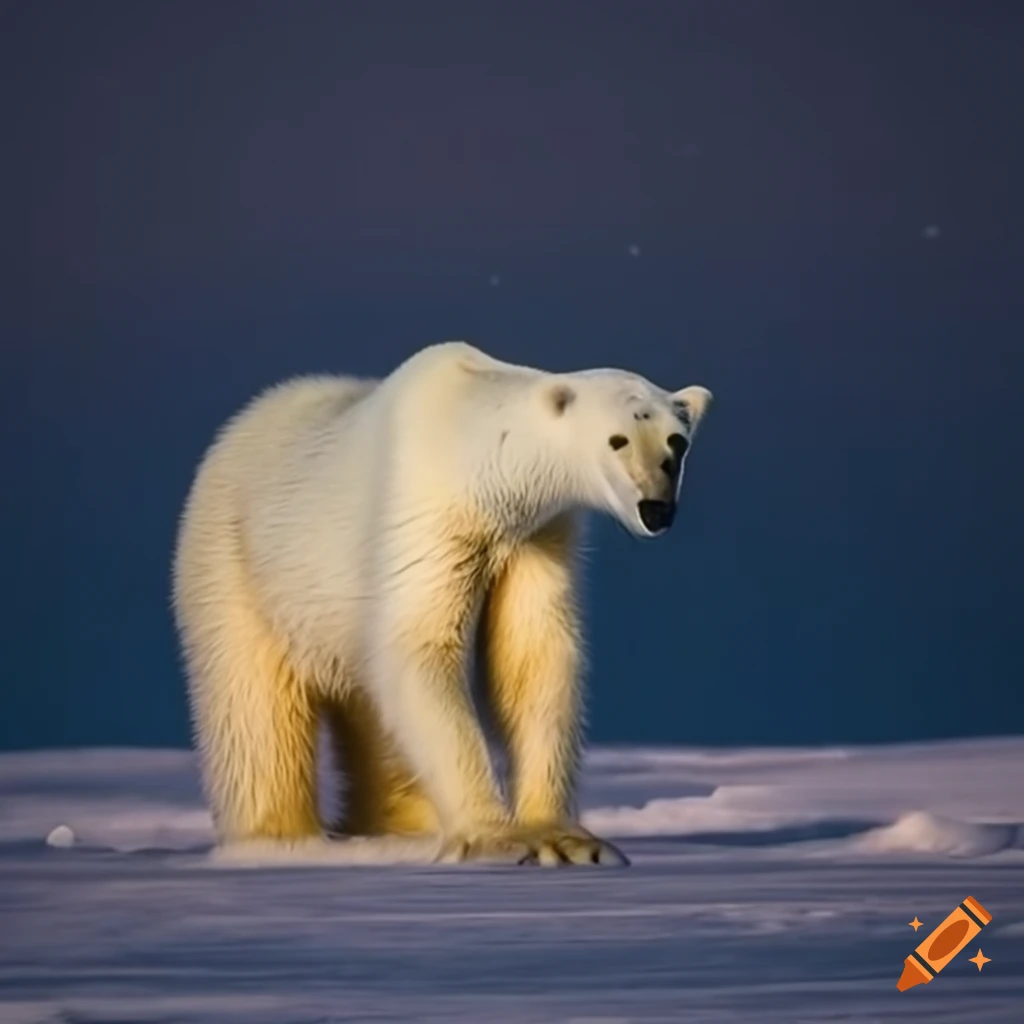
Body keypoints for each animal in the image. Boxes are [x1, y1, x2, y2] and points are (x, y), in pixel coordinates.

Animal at [172, 341, 712, 866]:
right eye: (617, 439)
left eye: (676, 442)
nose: (656, 509)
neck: (481, 456)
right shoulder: (428, 515)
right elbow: (423, 648)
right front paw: (498, 841)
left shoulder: (537, 536)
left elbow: (533, 658)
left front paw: (573, 842)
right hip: (239, 568)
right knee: (257, 719)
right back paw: (277, 841)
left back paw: (402, 830)